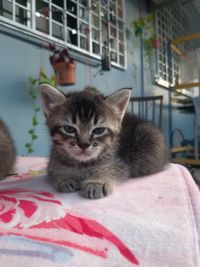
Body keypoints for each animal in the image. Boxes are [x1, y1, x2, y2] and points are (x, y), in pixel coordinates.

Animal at [39, 84, 168, 199]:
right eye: (69, 129)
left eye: (99, 130)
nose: (83, 144)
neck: (82, 164)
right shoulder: (53, 160)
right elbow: (53, 170)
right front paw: (64, 178)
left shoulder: (120, 163)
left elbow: (113, 169)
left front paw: (97, 181)